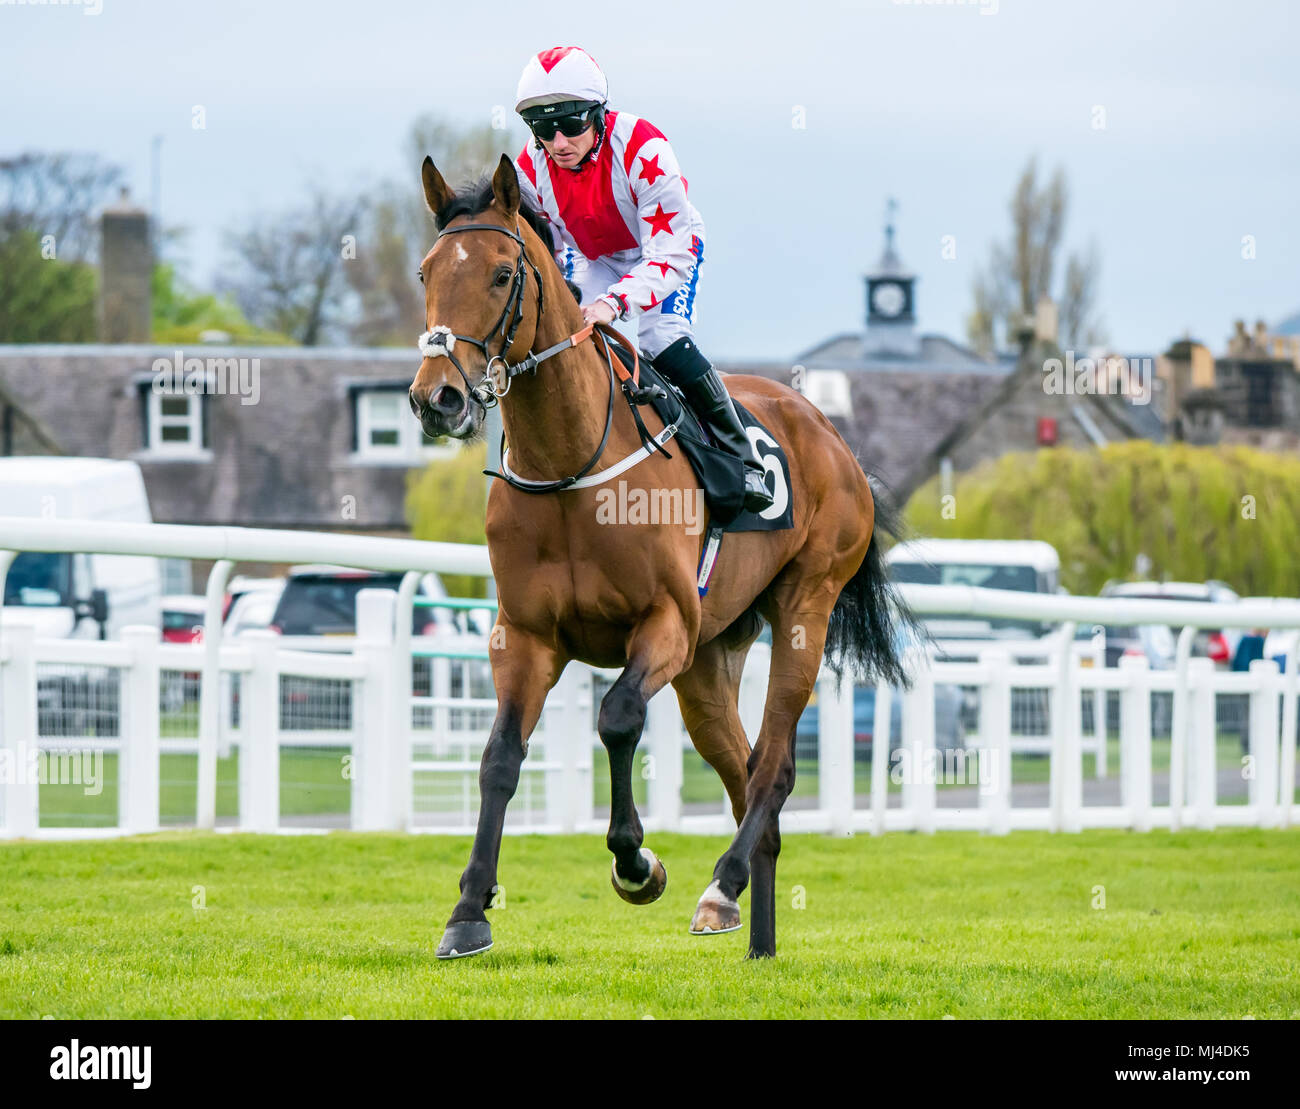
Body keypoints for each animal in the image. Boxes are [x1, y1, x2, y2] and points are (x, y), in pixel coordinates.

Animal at [410, 151, 909, 956]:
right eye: (426, 272)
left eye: (500, 273)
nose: (438, 399)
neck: (572, 465)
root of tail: (831, 435)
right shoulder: (524, 635)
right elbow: (499, 758)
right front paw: (468, 911)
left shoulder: (665, 623)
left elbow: (616, 717)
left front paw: (636, 863)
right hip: (711, 658)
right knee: (743, 773)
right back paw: (755, 934)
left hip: (805, 606)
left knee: (773, 768)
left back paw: (720, 885)